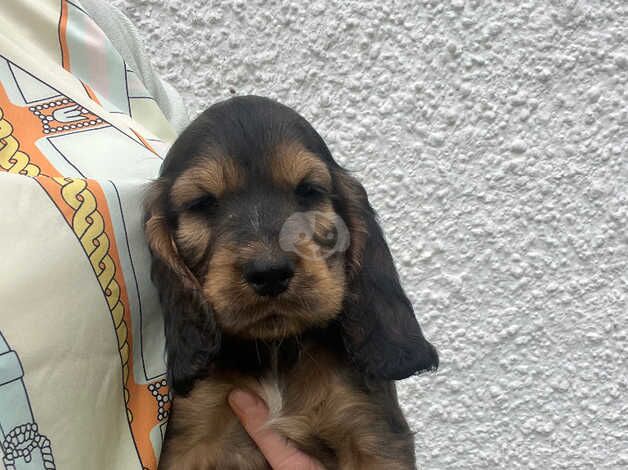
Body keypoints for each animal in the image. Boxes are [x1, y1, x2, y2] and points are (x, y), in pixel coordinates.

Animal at [145, 96, 440, 470]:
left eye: (309, 191)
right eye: (202, 203)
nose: (270, 272)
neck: (275, 353)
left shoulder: (371, 431)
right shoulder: (190, 437)